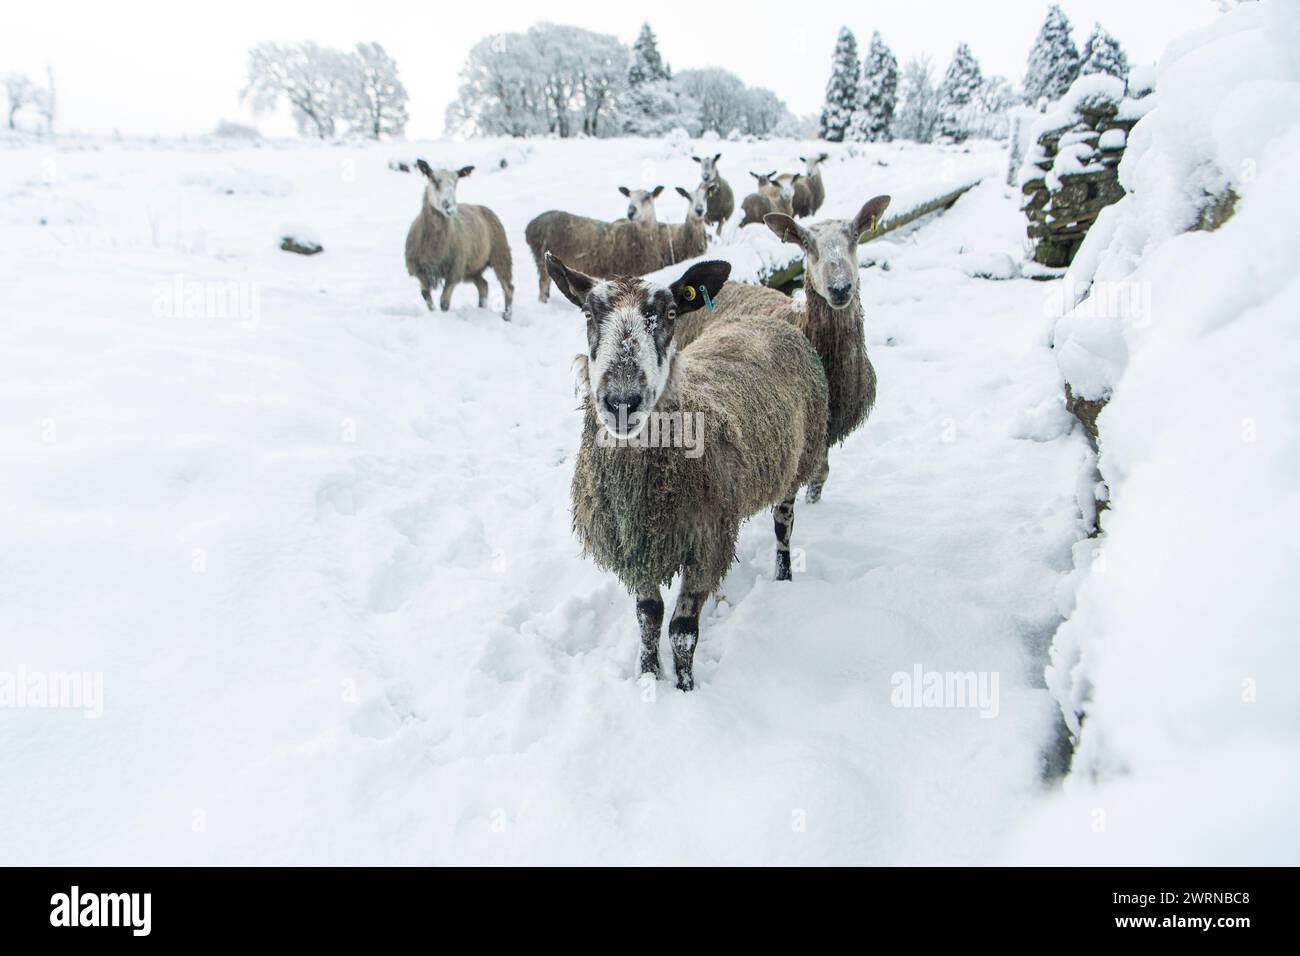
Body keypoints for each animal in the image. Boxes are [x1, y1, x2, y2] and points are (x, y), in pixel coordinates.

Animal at [405, 158, 512, 319]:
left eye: (456, 183)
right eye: (434, 180)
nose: (449, 206)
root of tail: (482, 207)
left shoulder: (454, 271)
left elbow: (444, 302)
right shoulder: (420, 272)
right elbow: (427, 298)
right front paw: (433, 314)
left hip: (500, 254)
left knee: (508, 288)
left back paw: (507, 316)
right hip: (473, 268)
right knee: (483, 286)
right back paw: (481, 308)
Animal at [525, 184, 665, 300]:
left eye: (647, 197)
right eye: (629, 197)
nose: (630, 213)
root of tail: (531, 226)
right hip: (542, 259)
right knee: (543, 286)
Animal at [543, 254, 826, 686]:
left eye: (671, 313)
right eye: (589, 314)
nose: (622, 401)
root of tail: (771, 321)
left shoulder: (705, 542)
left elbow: (682, 632)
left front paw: (686, 687)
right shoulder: (638, 543)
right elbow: (648, 617)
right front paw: (648, 676)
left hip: (799, 460)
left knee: (784, 527)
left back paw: (784, 577)